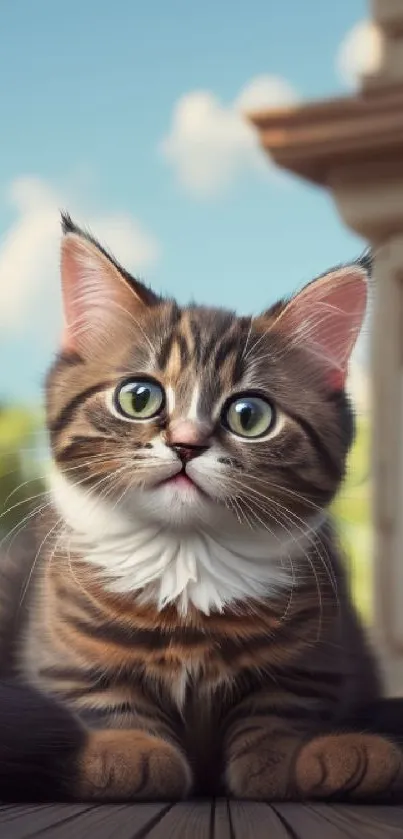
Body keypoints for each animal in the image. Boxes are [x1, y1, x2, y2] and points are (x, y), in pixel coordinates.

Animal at [3, 217, 403, 800]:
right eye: (139, 397)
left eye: (249, 414)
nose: (187, 444)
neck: (185, 557)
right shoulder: (62, 644)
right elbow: (99, 699)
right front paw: (124, 750)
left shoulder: (319, 652)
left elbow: (282, 709)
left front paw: (304, 757)